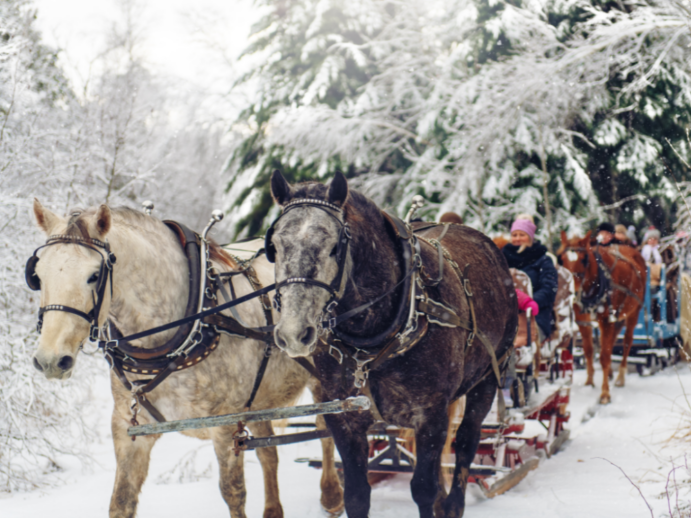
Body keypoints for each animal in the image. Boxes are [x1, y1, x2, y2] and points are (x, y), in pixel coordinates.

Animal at [29, 201, 344, 518]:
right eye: (38, 275)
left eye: (94, 276)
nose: (50, 359)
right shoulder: (128, 428)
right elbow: (121, 501)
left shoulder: (225, 426)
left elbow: (233, 493)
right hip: (258, 401)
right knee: (269, 452)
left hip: (321, 378)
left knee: (325, 428)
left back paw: (331, 493)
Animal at [556, 232, 648, 406]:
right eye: (561, 259)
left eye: (584, 259)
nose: (572, 291)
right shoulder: (582, 319)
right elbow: (589, 350)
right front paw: (589, 382)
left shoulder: (605, 320)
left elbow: (605, 356)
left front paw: (605, 394)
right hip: (617, 317)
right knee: (612, 340)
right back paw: (611, 373)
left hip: (634, 312)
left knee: (627, 341)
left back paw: (620, 377)